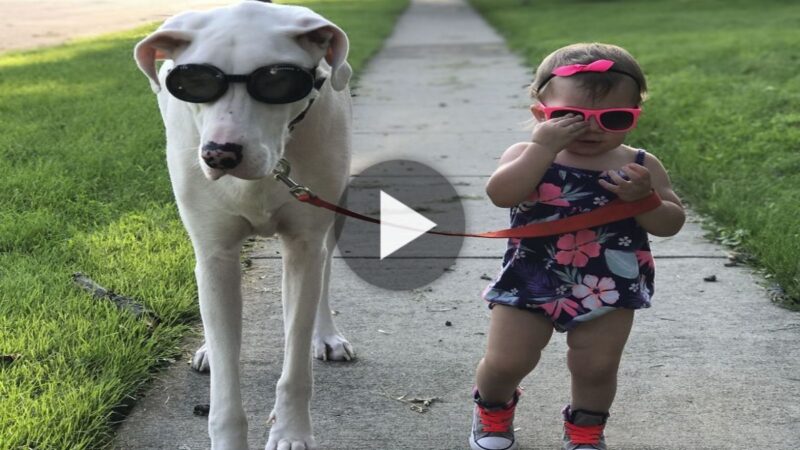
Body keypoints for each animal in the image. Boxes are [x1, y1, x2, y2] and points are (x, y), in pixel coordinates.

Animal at [134, 1, 354, 448]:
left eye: (277, 80)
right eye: (193, 82)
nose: (220, 154)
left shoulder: (304, 244)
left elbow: (296, 353)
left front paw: (291, 431)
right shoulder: (215, 252)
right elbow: (224, 371)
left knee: (324, 272)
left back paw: (326, 334)